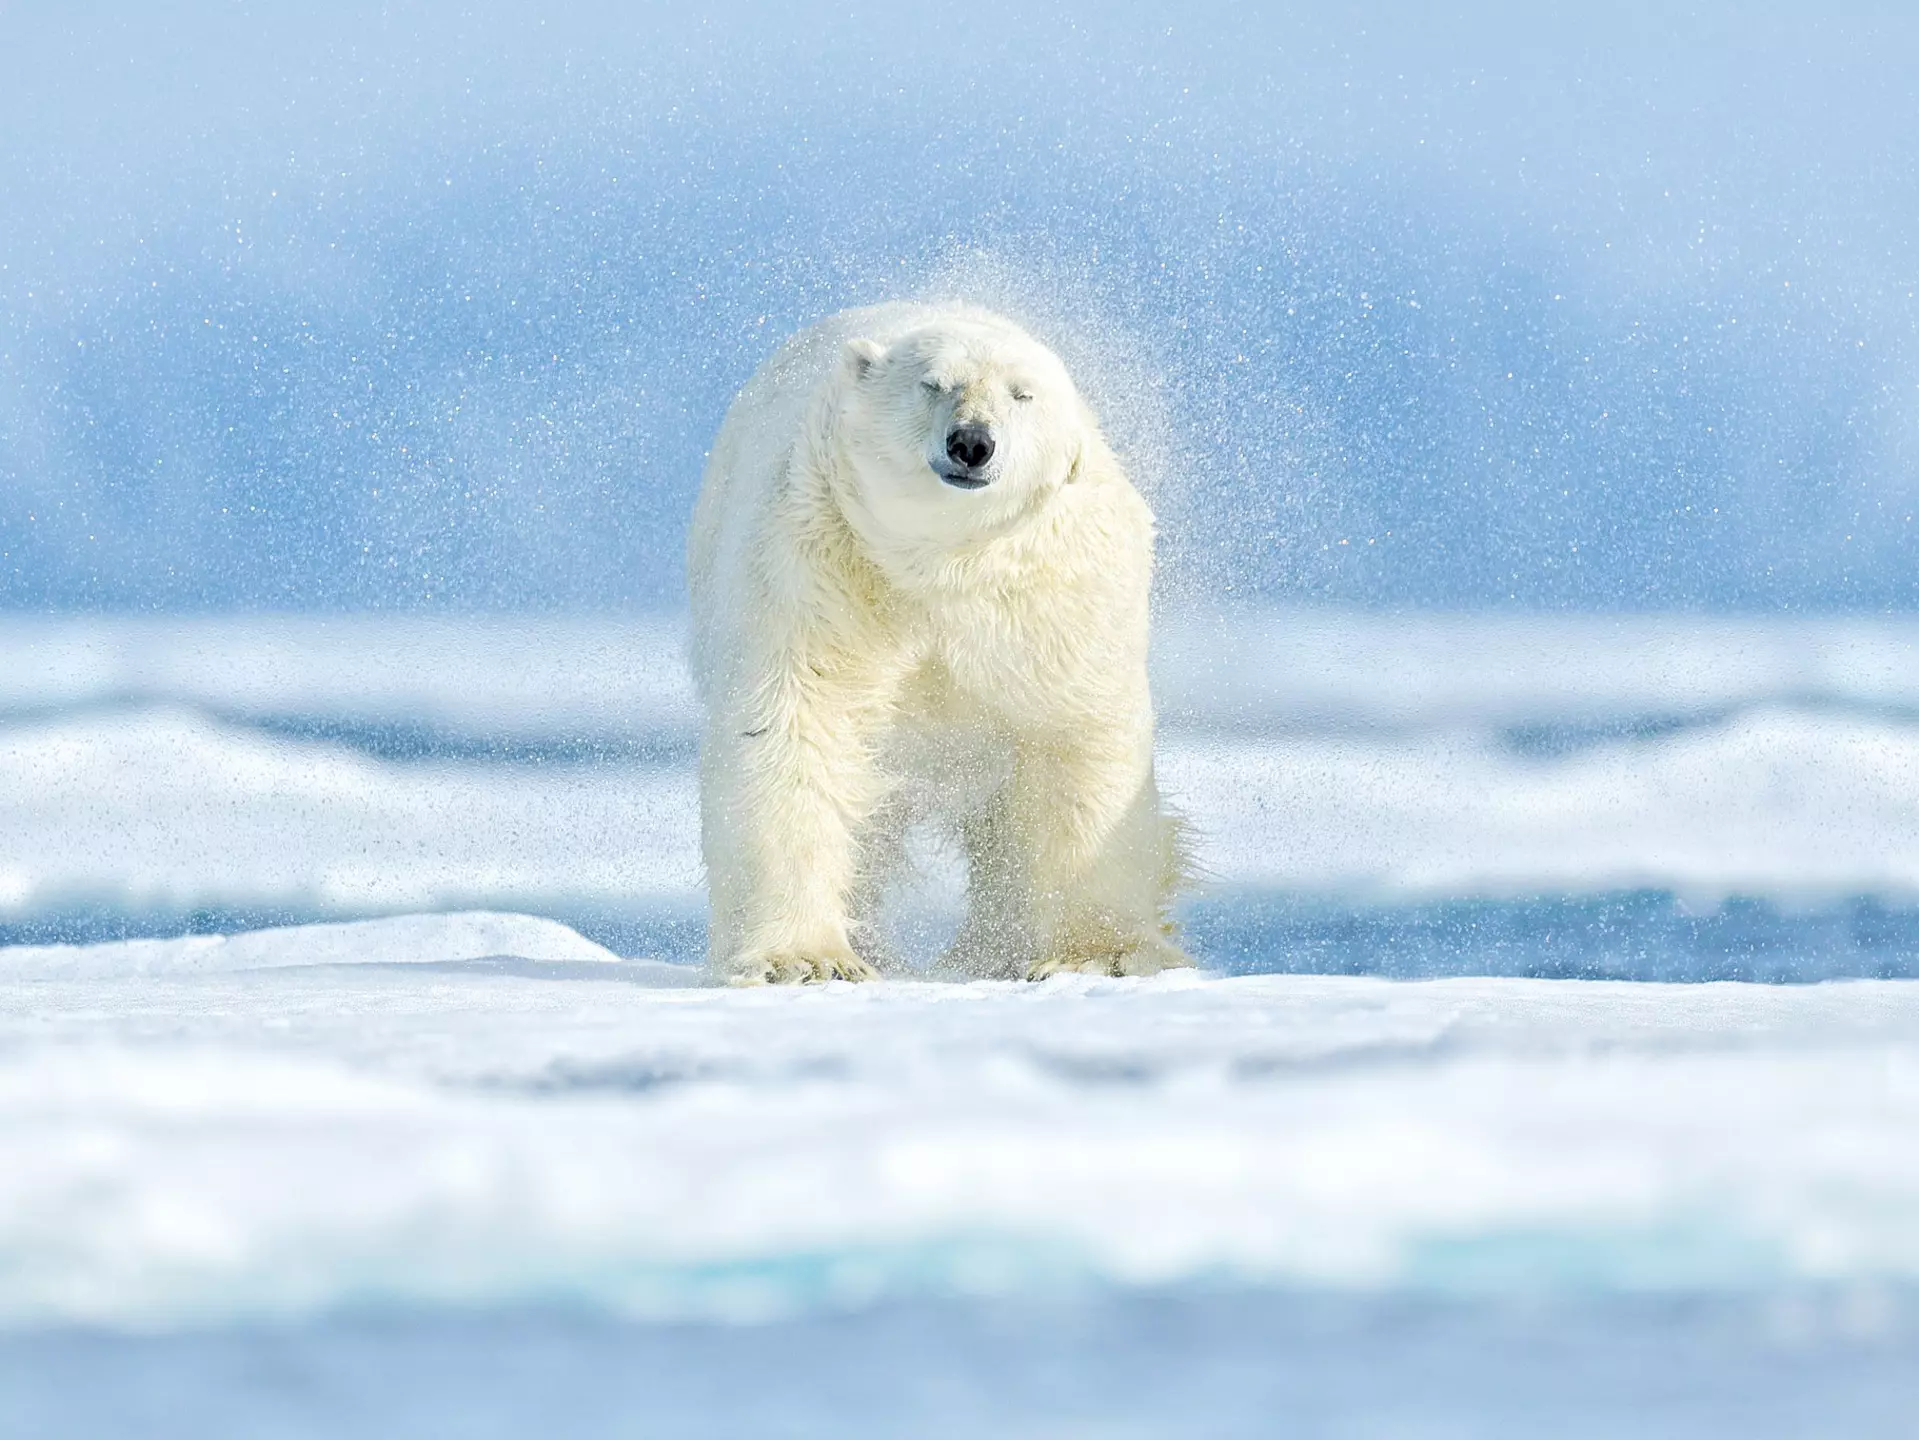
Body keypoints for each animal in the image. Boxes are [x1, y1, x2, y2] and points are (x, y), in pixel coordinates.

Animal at [687, 301, 1191, 985]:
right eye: (932, 384)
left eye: (1022, 394)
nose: (972, 442)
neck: (941, 566)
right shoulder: (815, 564)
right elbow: (795, 727)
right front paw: (806, 960)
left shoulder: (1055, 596)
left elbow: (1078, 740)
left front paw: (1100, 956)